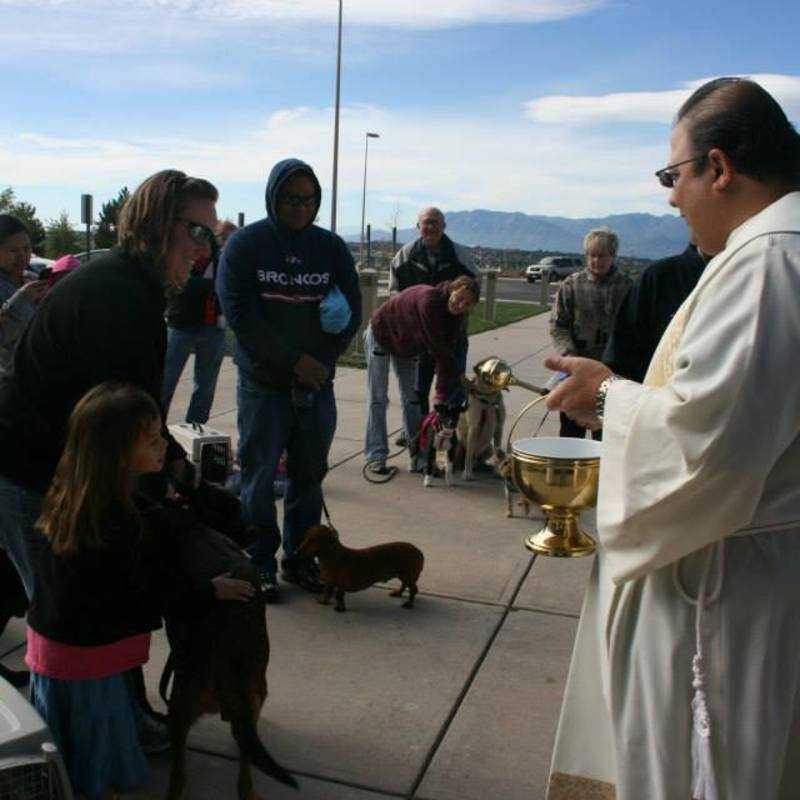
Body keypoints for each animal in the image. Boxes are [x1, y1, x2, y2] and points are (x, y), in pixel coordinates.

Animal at [296, 524, 424, 612]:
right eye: (305, 537)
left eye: (312, 540)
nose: (296, 552)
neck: (332, 557)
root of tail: (418, 550)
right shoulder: (329, 582)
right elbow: (327, 592)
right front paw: (324, 601)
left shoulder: (341, 584)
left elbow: (339, 596)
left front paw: (340, 608)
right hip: (403, 574)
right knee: (405, 585)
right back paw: (398, 593)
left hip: (407, 574)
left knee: (413, 589)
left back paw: (409, 603)